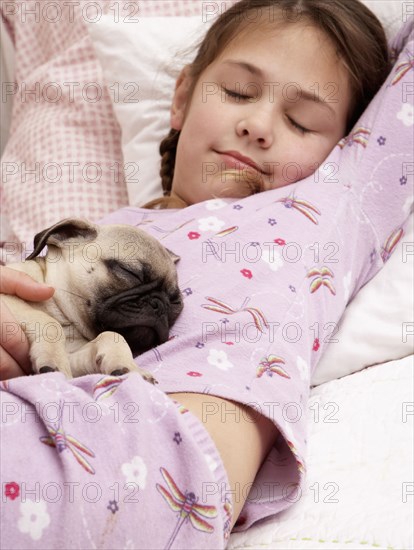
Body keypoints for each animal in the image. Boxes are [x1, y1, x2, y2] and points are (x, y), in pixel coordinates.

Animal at [1, 218, 183, 382]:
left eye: (175, 302)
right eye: (130, 272)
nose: (159, 305)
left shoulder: (73, 357)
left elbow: (111, 336)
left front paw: (130, 368)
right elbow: (48, 321)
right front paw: (53, 360)